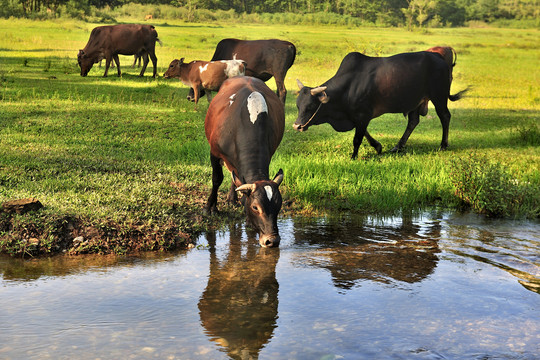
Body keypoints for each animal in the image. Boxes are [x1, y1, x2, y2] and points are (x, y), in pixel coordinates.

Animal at [204, 76, 286, 248]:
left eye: (279, 205)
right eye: (255, 207)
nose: (272, 240)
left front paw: (247, 218)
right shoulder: (214, 152)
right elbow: (217, 179)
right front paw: (210, 208)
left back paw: (232, 198)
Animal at [296, 50, 468, 158]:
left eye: (310, 106)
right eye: (298, 106)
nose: (296, 126)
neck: (349, 86)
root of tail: (438, 57)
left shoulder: (363, 114)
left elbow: (357, 138)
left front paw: (353, 156)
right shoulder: (356, 116)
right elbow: (364, 132)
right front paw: (378, 147)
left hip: (439, 97)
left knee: (445, 116)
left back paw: (443, 145)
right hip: (415, 101)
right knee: (413, 121)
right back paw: (398, 147)